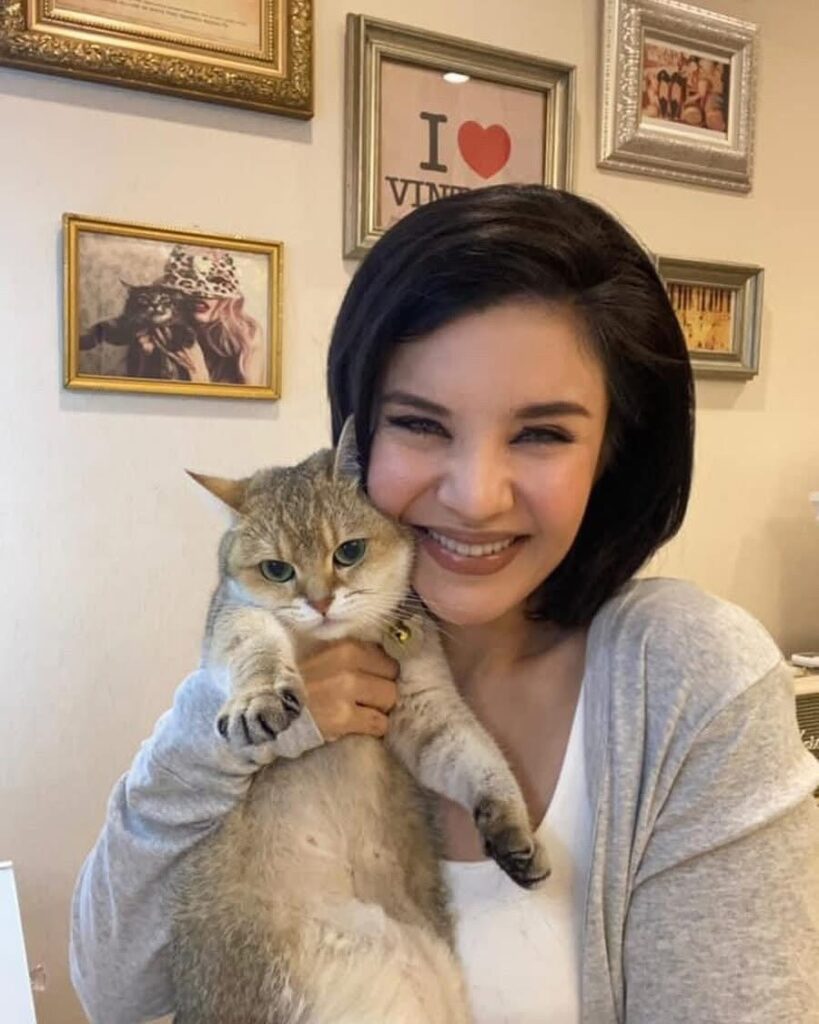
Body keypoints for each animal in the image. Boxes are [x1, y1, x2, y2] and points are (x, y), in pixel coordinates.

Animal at [171, 420, 551, 1024]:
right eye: (277, 569)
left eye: (348, 552)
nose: (322, 601)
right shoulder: (235, 617)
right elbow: (254, 644)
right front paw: (259, 698)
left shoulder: (424, 709)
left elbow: (477, 758)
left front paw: (512, 831)